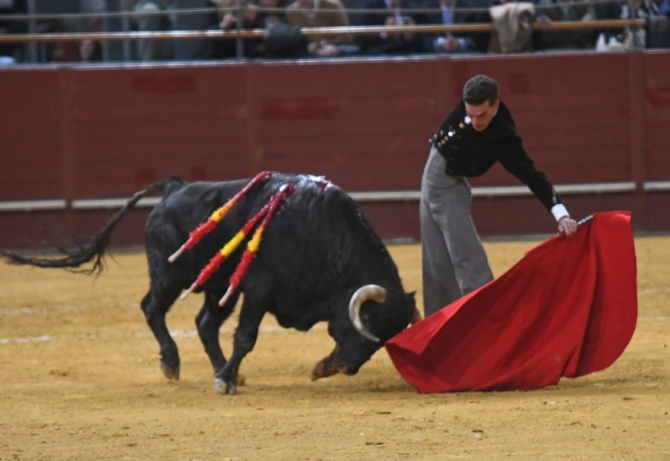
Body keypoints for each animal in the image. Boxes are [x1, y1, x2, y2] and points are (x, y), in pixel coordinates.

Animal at [3, 174, 420, 394]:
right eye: (368, 325)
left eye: (384, 338)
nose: (348, 368)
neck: (324, 234)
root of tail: (172, 190)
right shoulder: (259, 289)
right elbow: (246, 337)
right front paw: (223, 381)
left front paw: (319, 367)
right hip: (171, 275)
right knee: (152, 309)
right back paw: (174, 363)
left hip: (220, 287)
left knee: (204, 324)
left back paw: (226, 371)